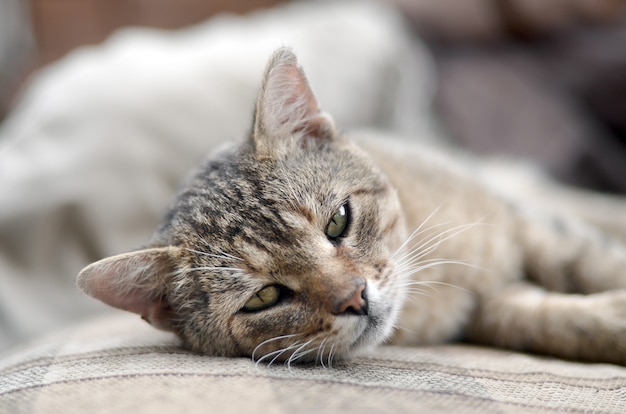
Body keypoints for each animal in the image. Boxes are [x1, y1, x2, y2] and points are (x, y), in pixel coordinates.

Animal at [77, 47, 624, 366]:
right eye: (263, 297)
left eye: (338, 220)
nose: (355, 298)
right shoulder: (489, 306)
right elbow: (547, 321)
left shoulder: (523, 223)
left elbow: (588, 260)